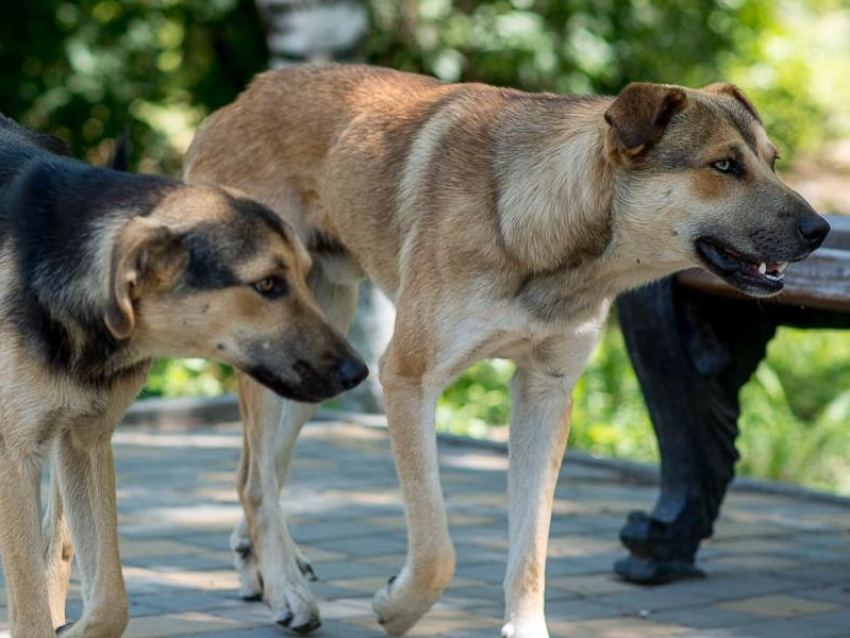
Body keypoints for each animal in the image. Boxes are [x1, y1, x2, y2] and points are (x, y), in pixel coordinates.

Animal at [0, 116, 364, 638]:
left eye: (302, 276)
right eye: (267, 285)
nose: (360, 372)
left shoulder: (86, 439)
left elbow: (111, 601)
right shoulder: (15, 453)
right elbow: (29, 602)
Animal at [182, 62, 824, 636]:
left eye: (772, 162)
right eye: (724, 166)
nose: (820, 230)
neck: (535, 227)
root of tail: (235, 104)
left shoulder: (545, 394)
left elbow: (531, 547)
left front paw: (525, 626)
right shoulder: (406, 380)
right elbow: (436, 550)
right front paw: (396, 607)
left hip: (316, 360)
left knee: (256, 470)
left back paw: (263, 569)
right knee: (257, 482)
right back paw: (287, 590)